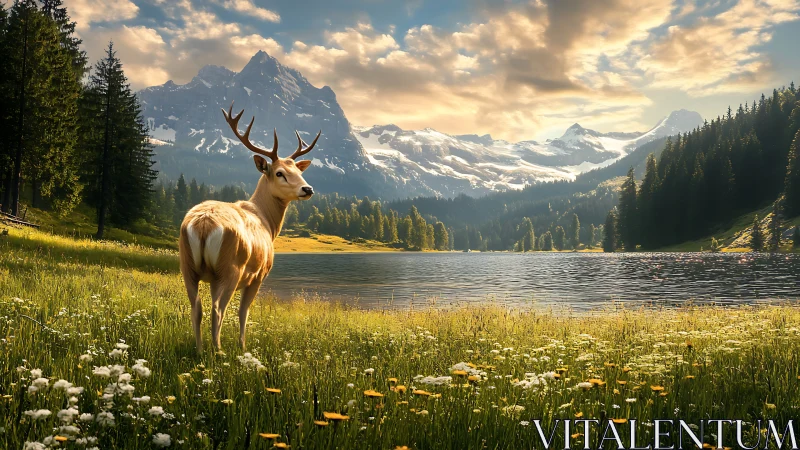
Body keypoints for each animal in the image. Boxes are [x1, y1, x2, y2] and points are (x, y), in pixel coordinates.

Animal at [179, 101, 320, 353]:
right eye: (279, 173)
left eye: (299, 171)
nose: (307, 189)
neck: (266, 221)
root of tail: (203, 223)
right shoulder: (260, 273)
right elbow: (244, 312)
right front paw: (242, 345)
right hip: (231, 267)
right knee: (218, 309)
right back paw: (219, 351)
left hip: (187, 265)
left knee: (197, 308)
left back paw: (200, 350)